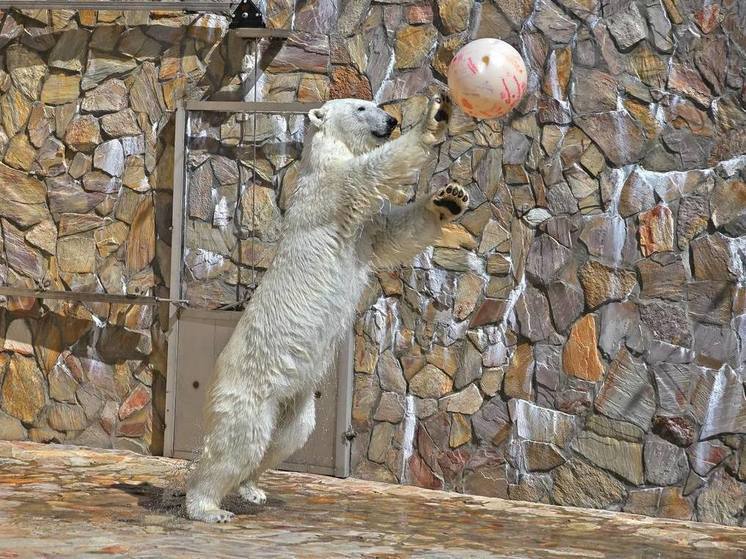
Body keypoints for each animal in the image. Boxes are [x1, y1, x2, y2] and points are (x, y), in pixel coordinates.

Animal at [185, 94, 464, 524]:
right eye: (362, 107)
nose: (392, 120)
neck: (323, 157)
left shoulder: (365, 232)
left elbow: (395, 234)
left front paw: (448, 199)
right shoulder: (332, 194)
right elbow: (371, 172)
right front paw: (435, 117)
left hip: (293, 398)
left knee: (288, 437)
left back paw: (252, 488)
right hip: (251, 390)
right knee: (239, 442)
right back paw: (207, 507)